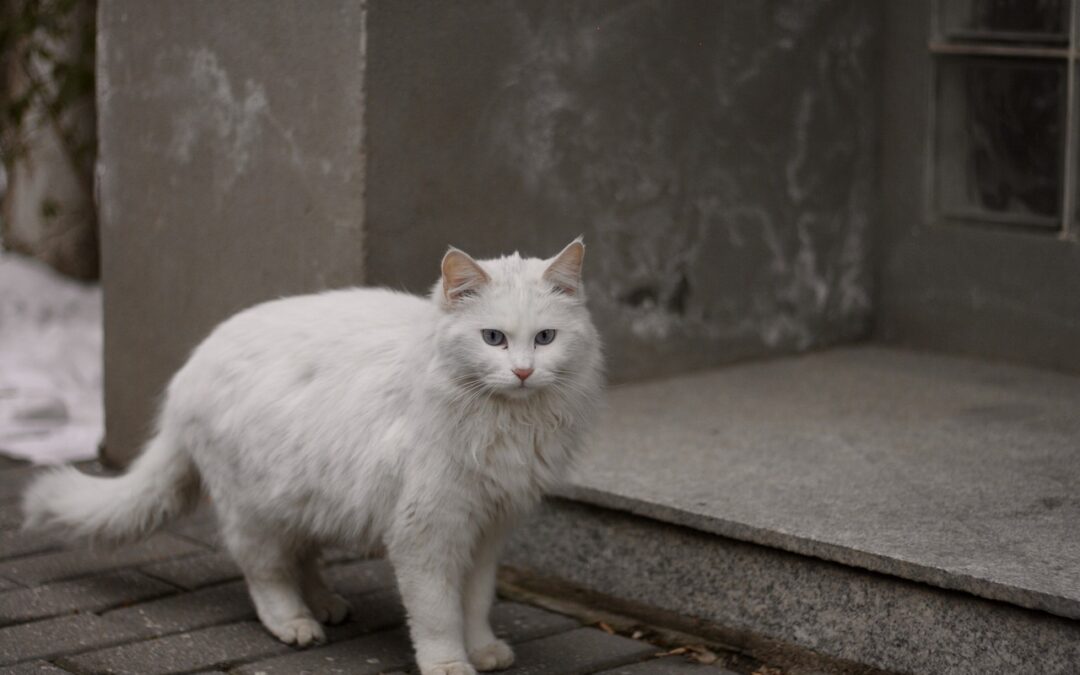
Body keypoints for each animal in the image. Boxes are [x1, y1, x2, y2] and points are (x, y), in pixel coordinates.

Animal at [23, 238, 609, 673]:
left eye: (545, 338)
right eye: (492, 339)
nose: (524, 372)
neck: (507, 422)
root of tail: (188, 372)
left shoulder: (487, 530)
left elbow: (475, 603)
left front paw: (484, 650)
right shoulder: (427, 532)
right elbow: (438, 614)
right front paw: (449, 665)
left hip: (307, 496)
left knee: (300, 556)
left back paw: (326, 604)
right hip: (253, 512)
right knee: (265, 573)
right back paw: (296, 623)